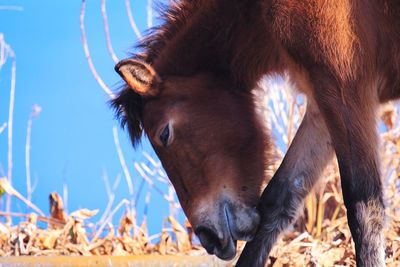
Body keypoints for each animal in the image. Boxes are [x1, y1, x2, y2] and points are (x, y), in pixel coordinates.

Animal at [112, 1, 400, 266]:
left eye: (164, 134)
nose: (207, 236)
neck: (259, 8)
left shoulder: (343, 90)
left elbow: (363, 208)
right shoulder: (322, 105)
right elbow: (278, 199)